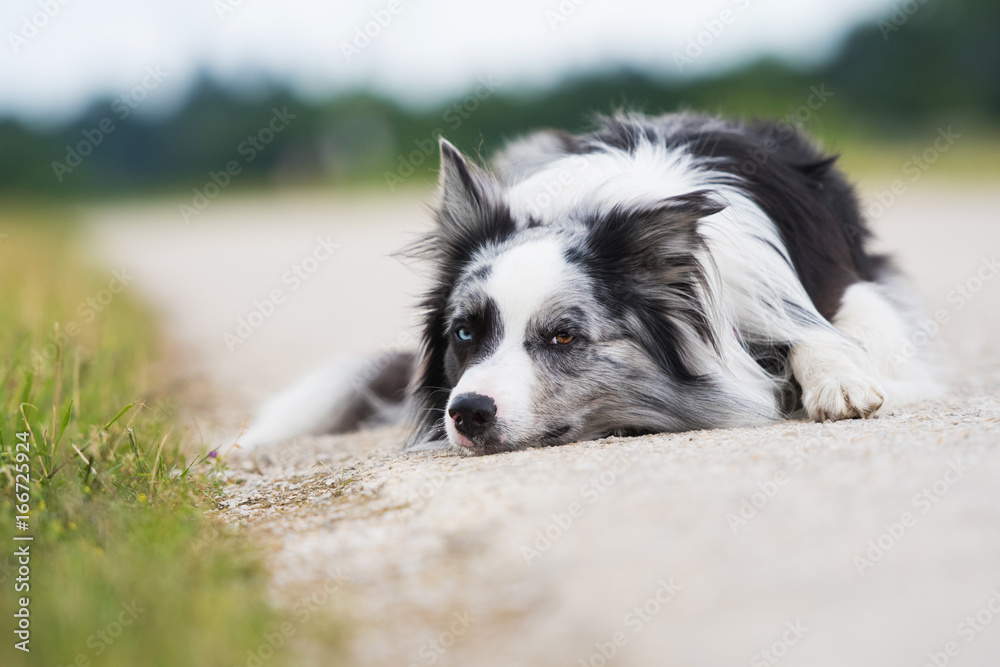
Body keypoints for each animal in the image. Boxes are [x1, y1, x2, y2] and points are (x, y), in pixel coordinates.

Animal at [238, 113, 940, 460]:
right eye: (464, 332)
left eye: (563, 336)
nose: (467, 413)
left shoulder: (842, 289)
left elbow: (826, 331)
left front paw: (839, 381)